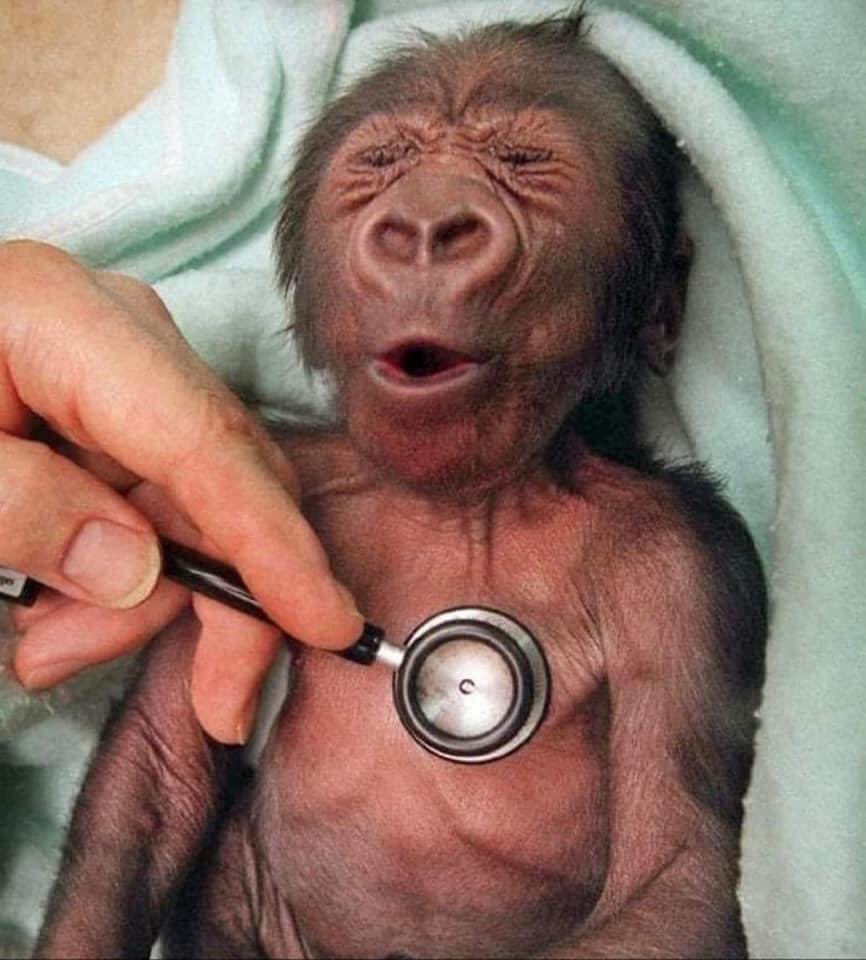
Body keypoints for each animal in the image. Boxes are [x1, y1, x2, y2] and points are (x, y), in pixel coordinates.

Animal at [35, 13, 766, 960]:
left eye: (526, 162)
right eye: (383, 162)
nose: (425, 221)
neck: (466, 505)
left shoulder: (690, 568)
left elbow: (676, 876)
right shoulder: (269, 482)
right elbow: (163, 756)